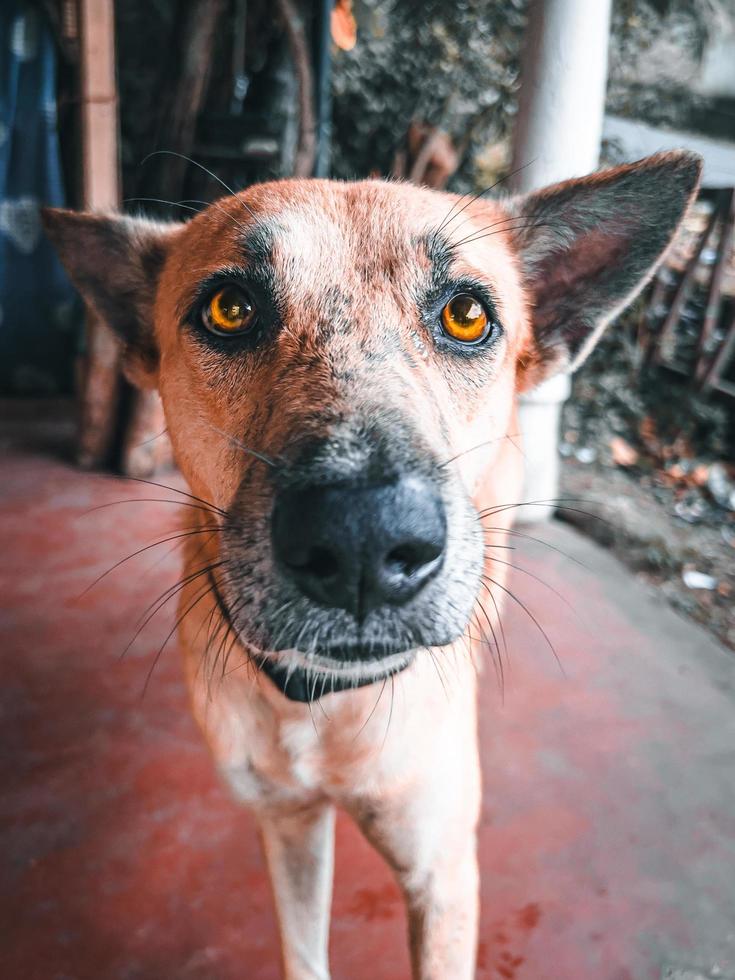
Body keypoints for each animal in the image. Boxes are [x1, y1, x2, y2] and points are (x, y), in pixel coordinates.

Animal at [44, 151, 700, 980]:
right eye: (229, 308)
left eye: (466, 315)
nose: (362, 540)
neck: (322, 705)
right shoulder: (288, 825)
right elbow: (302, 951)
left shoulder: (442, 875)